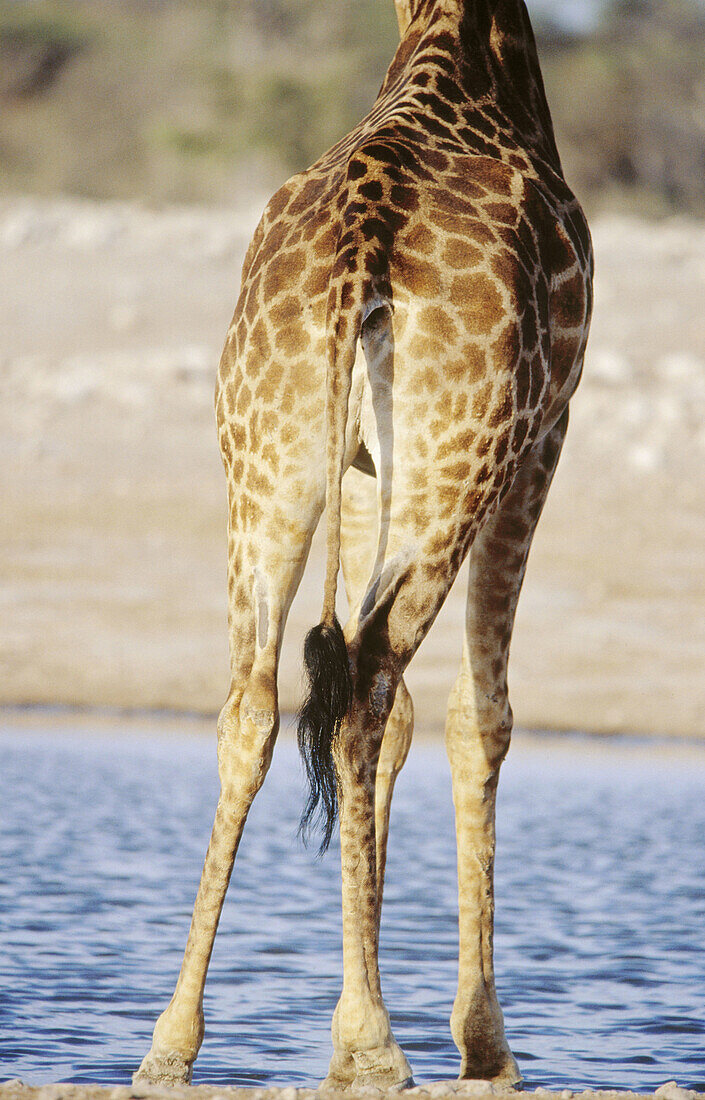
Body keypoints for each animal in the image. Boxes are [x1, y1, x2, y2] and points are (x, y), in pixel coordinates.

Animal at [134, 0, 589, 1086]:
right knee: (368, 684)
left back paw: (172, 1046)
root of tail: (360, 249)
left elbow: (398, 714)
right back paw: (377, 1042)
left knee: (260, 703)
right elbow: (478, 716)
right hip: (456, 463)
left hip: (267, 461)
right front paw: (482, 1046)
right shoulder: (543, 436)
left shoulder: (356, 468)